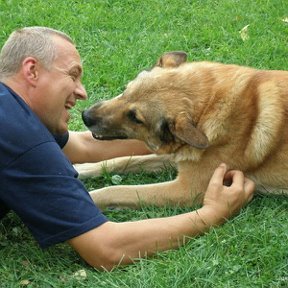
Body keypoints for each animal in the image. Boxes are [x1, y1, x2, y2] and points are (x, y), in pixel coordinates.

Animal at [78, 51, 288, 208]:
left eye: (135, 117)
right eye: (125, 90)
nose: (85, 116)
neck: (209, 106)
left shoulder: (186, 189)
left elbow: (117, 190)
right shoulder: (182, 155)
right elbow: (124, 160)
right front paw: (82, 168)